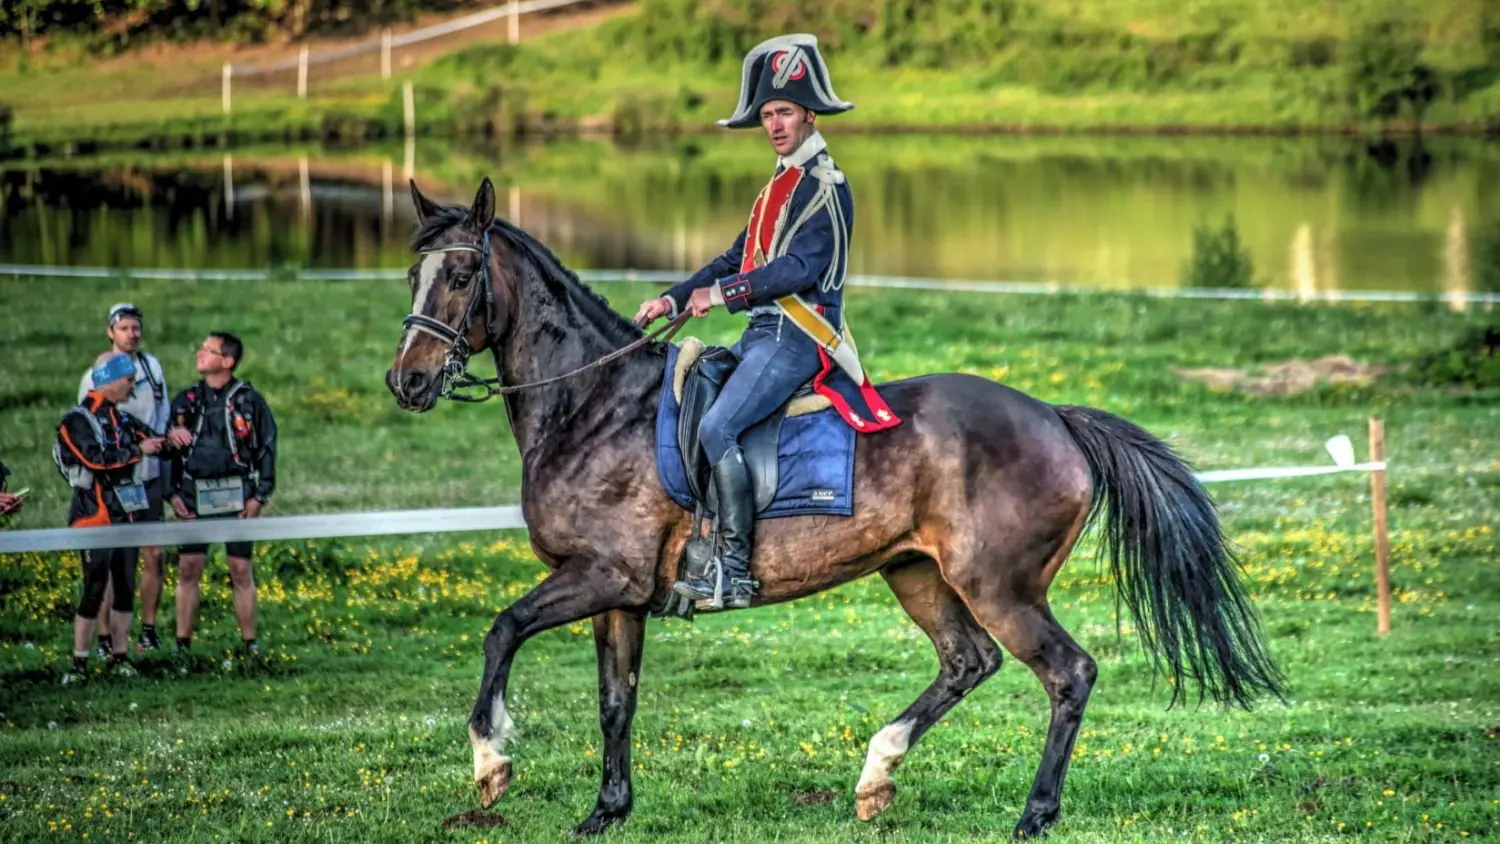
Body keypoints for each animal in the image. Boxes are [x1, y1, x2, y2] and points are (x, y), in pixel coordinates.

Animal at [381, 178, 1284, 839]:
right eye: (410, 276)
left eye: (461, 275)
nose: (409, 381)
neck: (595, 405)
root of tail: (1054, 418)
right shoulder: (621, 595)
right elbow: (615, 701)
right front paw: (605, 813)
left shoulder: (600, 575)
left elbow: (502, 630)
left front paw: (491, 762)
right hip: (917, 573)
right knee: (967, 663)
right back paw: (877, 774)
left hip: (999, 586)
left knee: (1068, 672)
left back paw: (1033, 815)